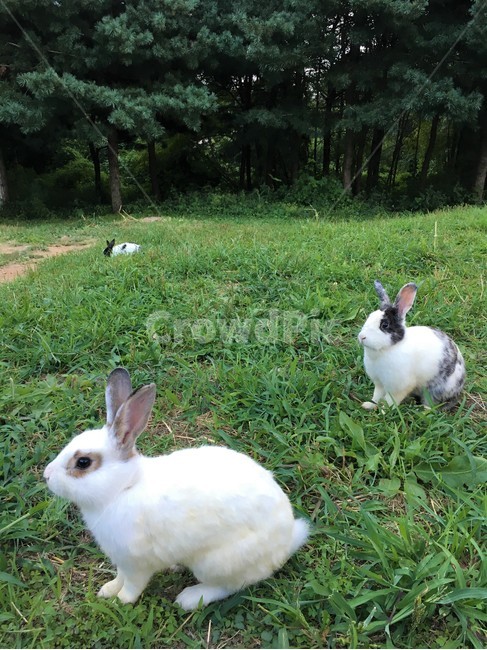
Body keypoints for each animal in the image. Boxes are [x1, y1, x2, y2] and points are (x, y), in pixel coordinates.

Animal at [43, 368, 309, 611]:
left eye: (83, 462)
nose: (47, 475)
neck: (123, 488)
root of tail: (286, 542)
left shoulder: (137, 564)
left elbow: (132, 585)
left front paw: (121, 601)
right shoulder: (121, 561)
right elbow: (119, 577)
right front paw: (107, 590)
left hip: (216, 563)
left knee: (230, 586)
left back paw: (189, 598)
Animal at [358, 280, 465, 410]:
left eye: (384, 325)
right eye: (369, 317)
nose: (362, 337)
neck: (387, 349)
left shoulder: (399, 387)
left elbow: (390, 400)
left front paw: (384, 411)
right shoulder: (379, 383)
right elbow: (376, 396)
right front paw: (368, 405)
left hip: (435, 390)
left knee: (431, 404)